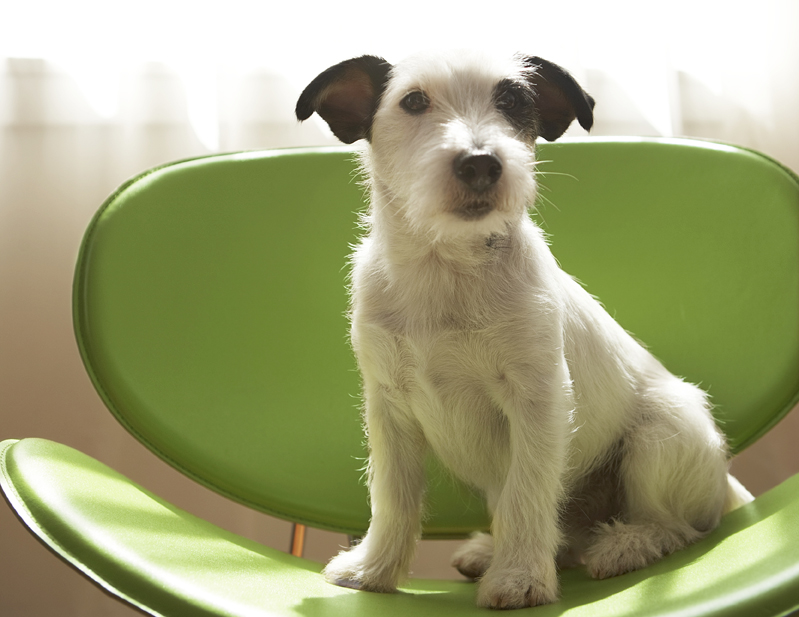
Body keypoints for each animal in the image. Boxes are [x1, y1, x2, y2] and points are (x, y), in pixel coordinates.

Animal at [296, 51, 756, 608]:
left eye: (513, 100)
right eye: (414, 101)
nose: (480, 162)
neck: (447, 271)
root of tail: (726, 486)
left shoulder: (538, 402)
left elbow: (527, 493)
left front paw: (520, 579)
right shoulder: (389, 410)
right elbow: (393, 497)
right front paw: (374, 569)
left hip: (660, 436)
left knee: (676, 528)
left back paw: (622, 546)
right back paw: (496, 550)